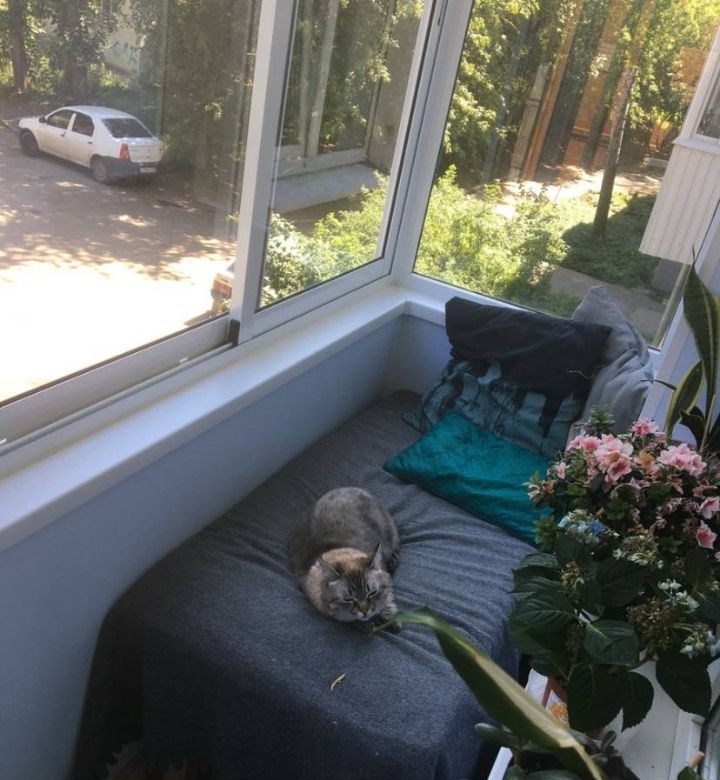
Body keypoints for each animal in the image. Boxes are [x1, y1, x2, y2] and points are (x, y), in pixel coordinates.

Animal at [288, 487, 400, 630]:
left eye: (372, 593)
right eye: (348, 599)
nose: (365, 611)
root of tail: (351, 488)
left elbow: (386, 596)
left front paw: (388, 616)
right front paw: (366, 624)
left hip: (388, 533)